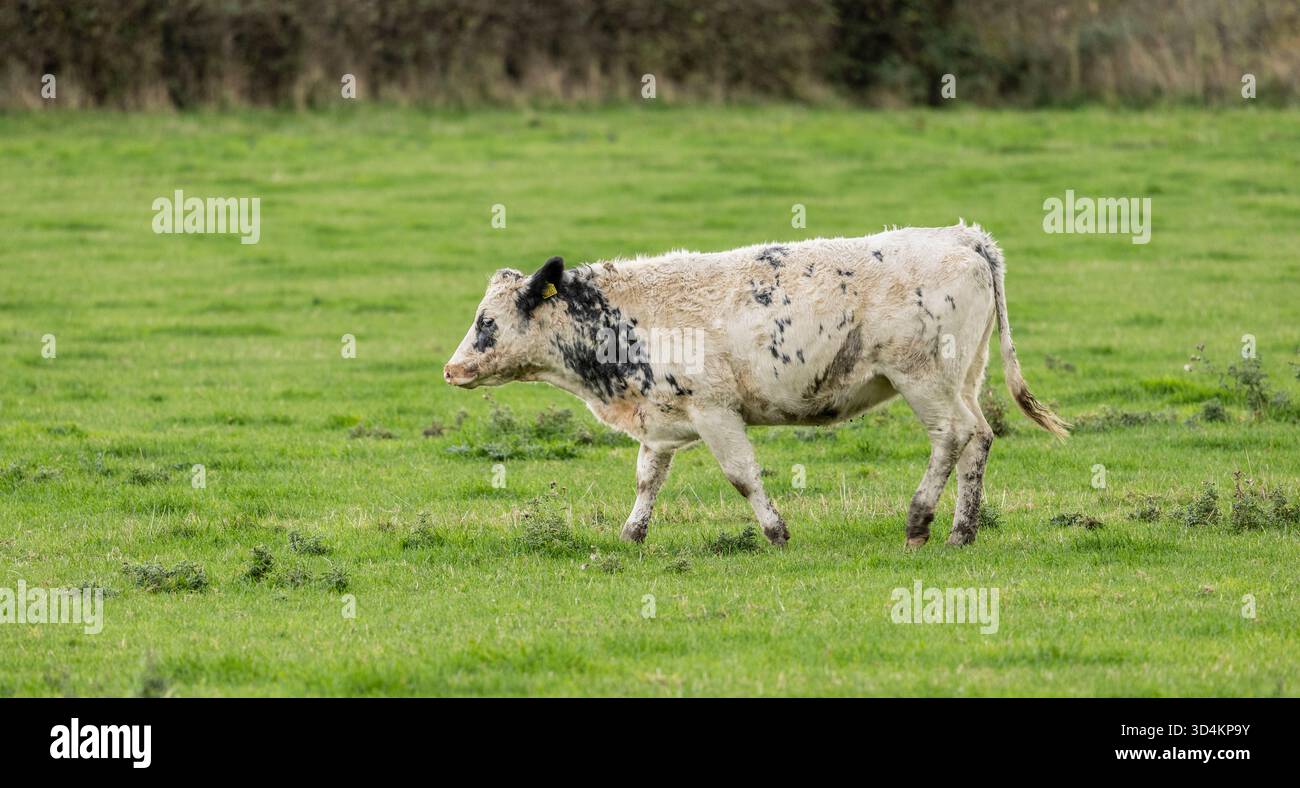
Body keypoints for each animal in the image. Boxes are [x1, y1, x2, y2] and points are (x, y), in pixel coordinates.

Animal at [444, 222, 1068, 548]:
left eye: (487, 321)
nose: (452, 369)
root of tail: (964, 237)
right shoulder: (660, 418)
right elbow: (648, 480)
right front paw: (631, 535)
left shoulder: (715, 411)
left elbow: (742, 476)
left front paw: (775, 531)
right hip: (965, 374)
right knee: (979, 437)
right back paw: (963, 531)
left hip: (922, 376)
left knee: (952, 436)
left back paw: (919, 520)